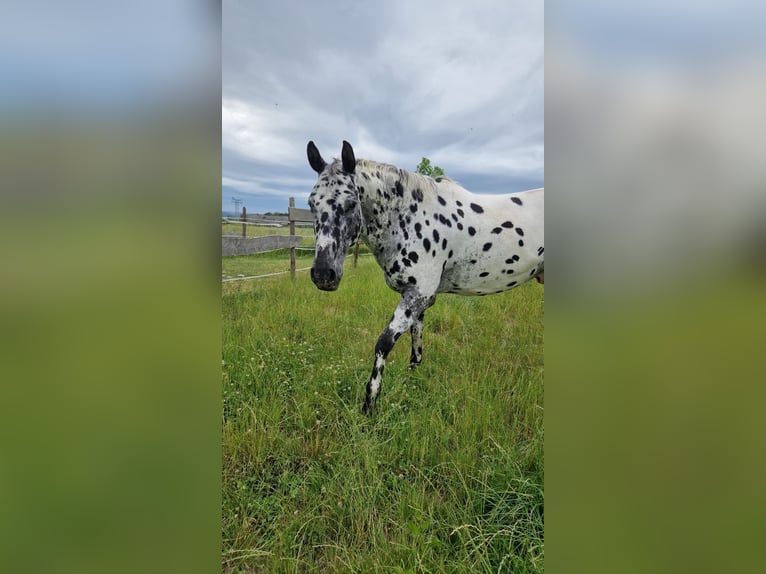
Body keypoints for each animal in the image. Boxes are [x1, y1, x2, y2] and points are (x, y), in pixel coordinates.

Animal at [306, 140, 544, 413]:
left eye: (351, 203)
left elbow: (383, 344)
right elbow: (416, 340)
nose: (323, 274)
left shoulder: (417, 295)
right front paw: (412, 380)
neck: (410, 217)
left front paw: (369, 405)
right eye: (312, 204)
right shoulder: (418, 298)